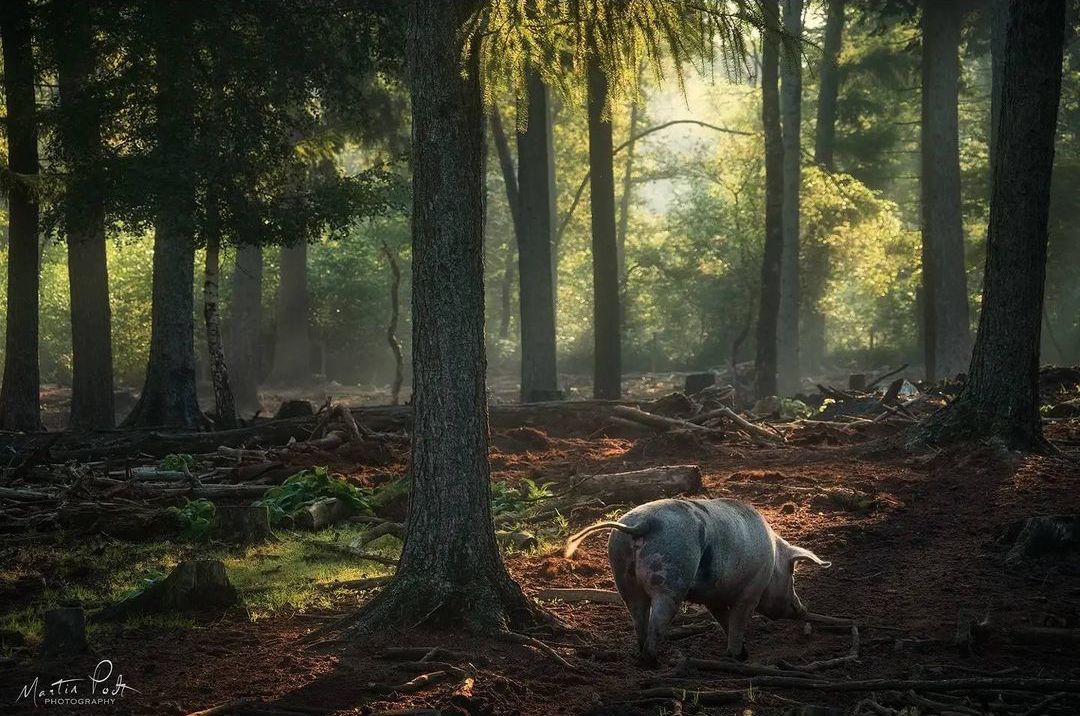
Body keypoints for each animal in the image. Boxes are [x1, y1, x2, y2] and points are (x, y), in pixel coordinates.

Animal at [561, 498, 829, 660]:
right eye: (792, 574)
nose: (803, 609)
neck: (772, 561)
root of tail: (644, 523)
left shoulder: (715, 598)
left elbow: (724, 620)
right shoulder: (750, 593)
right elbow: (737, 622)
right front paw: (738, 656)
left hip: (623, 576)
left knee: (638, 615)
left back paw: (642, 653)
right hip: (671, 577)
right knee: (658, 619)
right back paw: (654, 660)